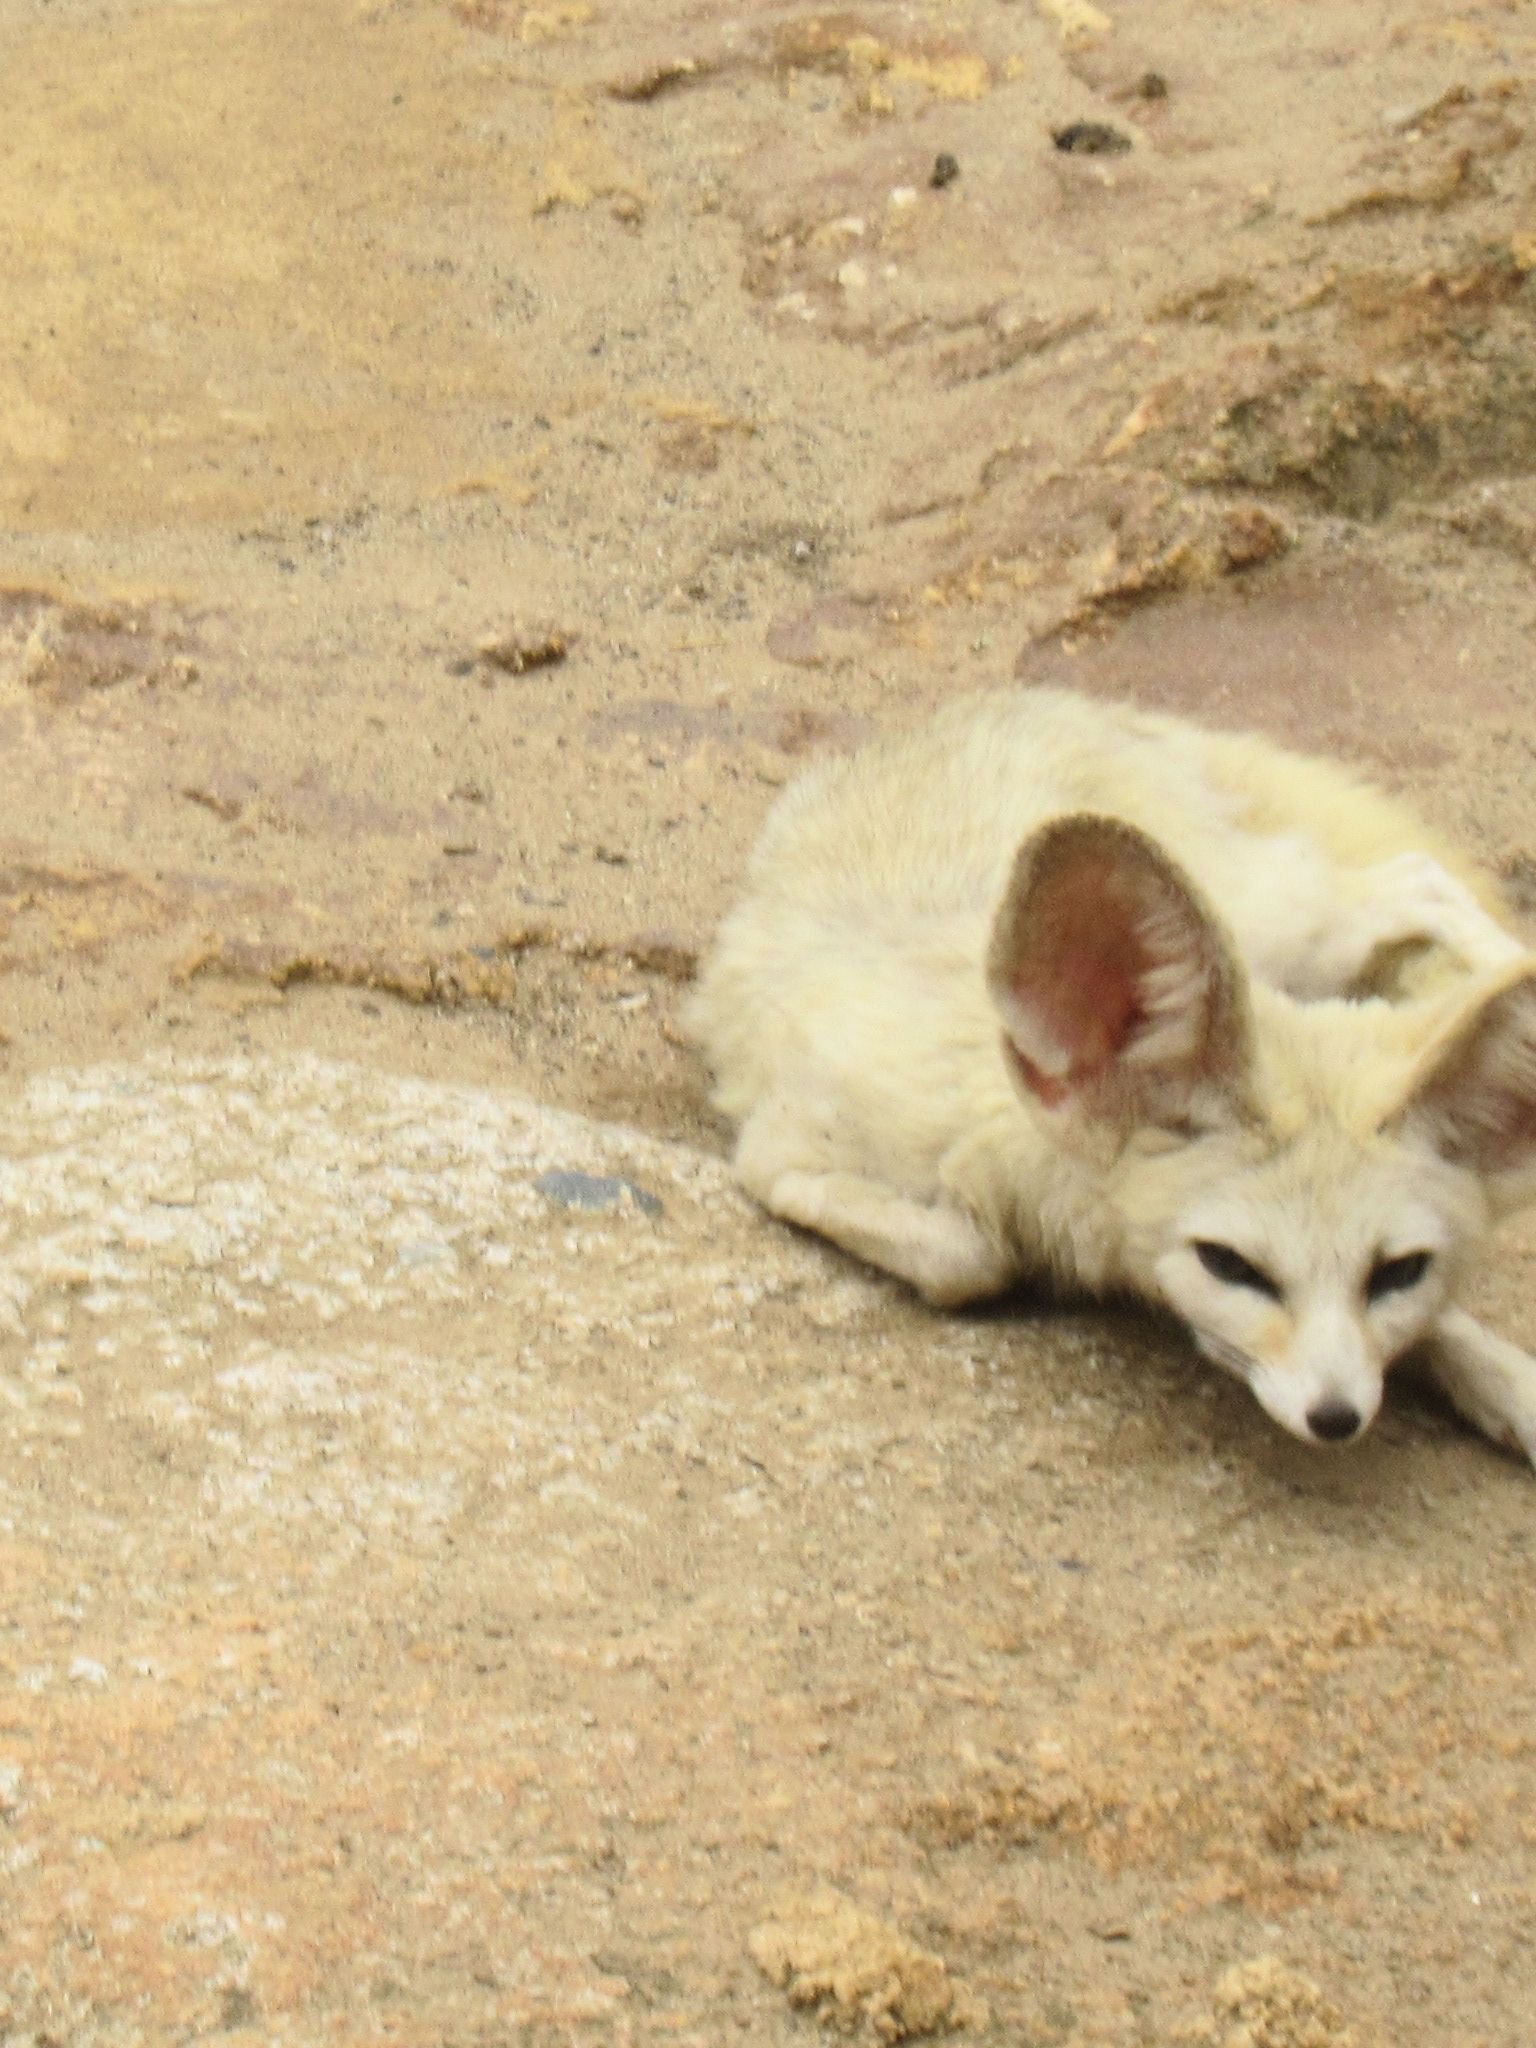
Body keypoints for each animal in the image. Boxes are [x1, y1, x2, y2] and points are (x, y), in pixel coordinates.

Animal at [689, 686, 1536, 1466]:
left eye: (1396, 1272)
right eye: (1232, 1266)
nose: (1337, 1419)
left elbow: (1445, 1325)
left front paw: (1506, 1382)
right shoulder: (780, 1153)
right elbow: (971, 1259)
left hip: (1274, 925)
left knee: (1414, 880)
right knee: (1408, 881)